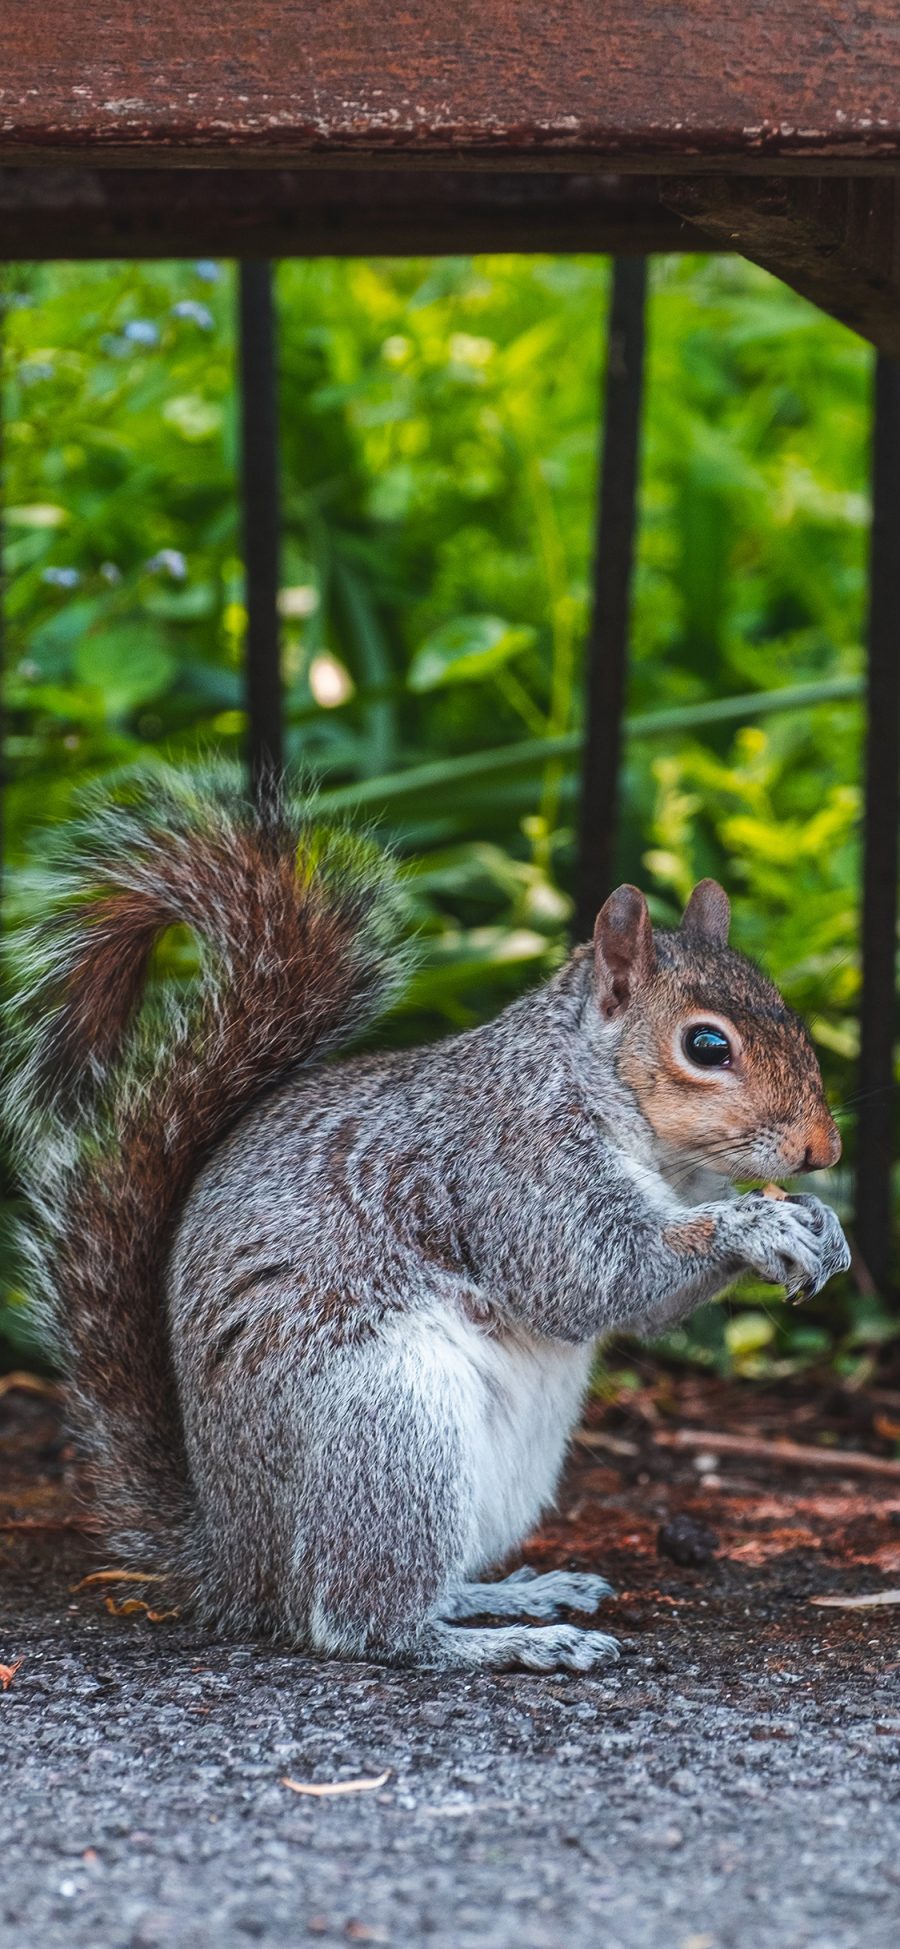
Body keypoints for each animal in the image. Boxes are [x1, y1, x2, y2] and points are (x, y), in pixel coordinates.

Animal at [5, 767, 849, 1668]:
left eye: (786, 1009)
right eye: (706, 1046)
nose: (823, 1148)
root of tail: (236, 1563)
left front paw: (817, 1223)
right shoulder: (513, 1162)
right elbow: (589, 1276)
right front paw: (756, 1227)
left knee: (428, 1586)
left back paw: (515, 1595)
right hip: (389, 1428)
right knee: (365, 1619)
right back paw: (513, 1644)